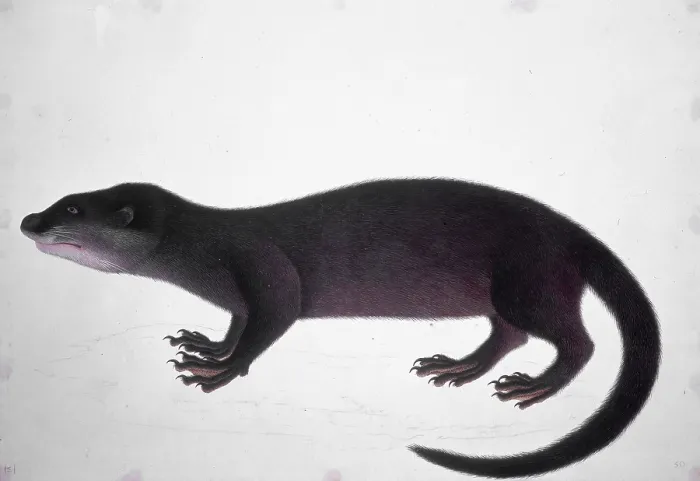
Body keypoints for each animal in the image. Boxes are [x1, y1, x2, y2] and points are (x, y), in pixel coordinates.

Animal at [20, 178, 660, 479]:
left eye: (73, 211)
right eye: (62, 199)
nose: (28, 220)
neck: (204, 249)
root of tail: (572, 233)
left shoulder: (264, 267)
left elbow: (271, 320)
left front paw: (216, 371)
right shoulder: (238, 293)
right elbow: (239, 323)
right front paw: (204, 345)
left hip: (531, 278)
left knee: (576, 341)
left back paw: (534, 386)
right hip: (509, 292)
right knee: (508, 334)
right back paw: (458, 367)